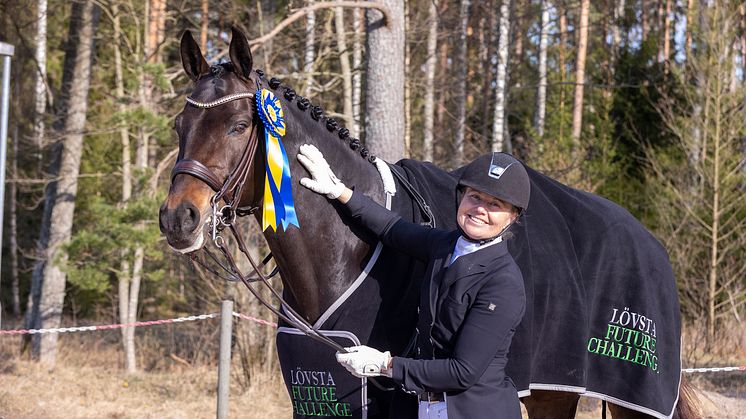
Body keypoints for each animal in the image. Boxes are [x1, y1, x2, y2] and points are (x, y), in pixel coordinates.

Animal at [158, 27, 696, 418]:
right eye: (180, 126)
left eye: (238, 127)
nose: (178, 219)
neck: (346, 252)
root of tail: (650, 243)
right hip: (552, 393)